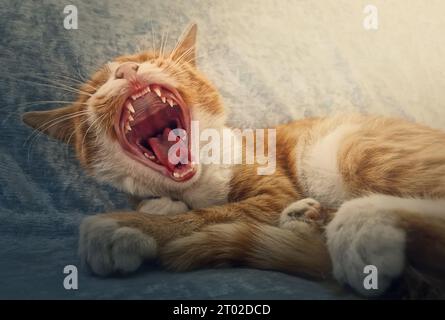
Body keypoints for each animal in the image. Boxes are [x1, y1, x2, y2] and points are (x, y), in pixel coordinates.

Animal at [22, 24, 444, 298]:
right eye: (95, 88)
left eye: (149, 60)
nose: (127, 70)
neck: (193, 185)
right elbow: (163, 204)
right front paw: (154, 207)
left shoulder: (271, 193)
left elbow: (207, 216)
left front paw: (126, 225)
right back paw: (310, 220)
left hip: (349, 148)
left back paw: (365, 222)